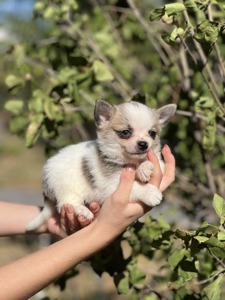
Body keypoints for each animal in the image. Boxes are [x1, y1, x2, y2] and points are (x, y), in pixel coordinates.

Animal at [0, 145, 175, 300]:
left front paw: (149, 167)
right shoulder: (111, 184)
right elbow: (135, 187)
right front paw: (150, 192)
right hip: (67, 187)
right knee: (65, 203)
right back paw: (83, 211)